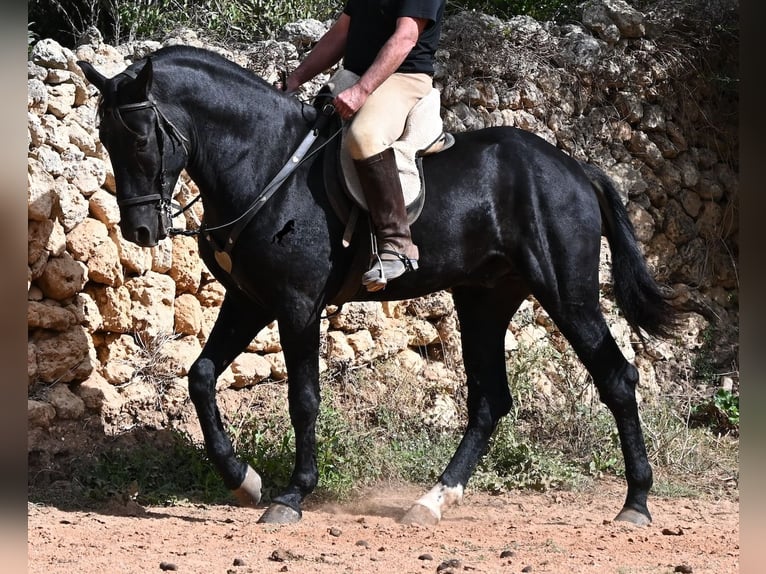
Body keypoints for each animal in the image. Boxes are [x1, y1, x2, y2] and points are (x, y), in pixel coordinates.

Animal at [78, 44, 679, 526]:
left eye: (139, 138)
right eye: (104, 136)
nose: (139, 230)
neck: (266, 163)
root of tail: (575, 169)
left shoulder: (296, 305)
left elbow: (303, 398)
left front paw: (292, 495)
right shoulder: (249, 300)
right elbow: (200, 376)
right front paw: (242, 479)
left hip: (566, 294)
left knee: (616, 378)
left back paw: (635, 503)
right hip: (484, 300)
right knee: (490, 400)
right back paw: (433, 501)